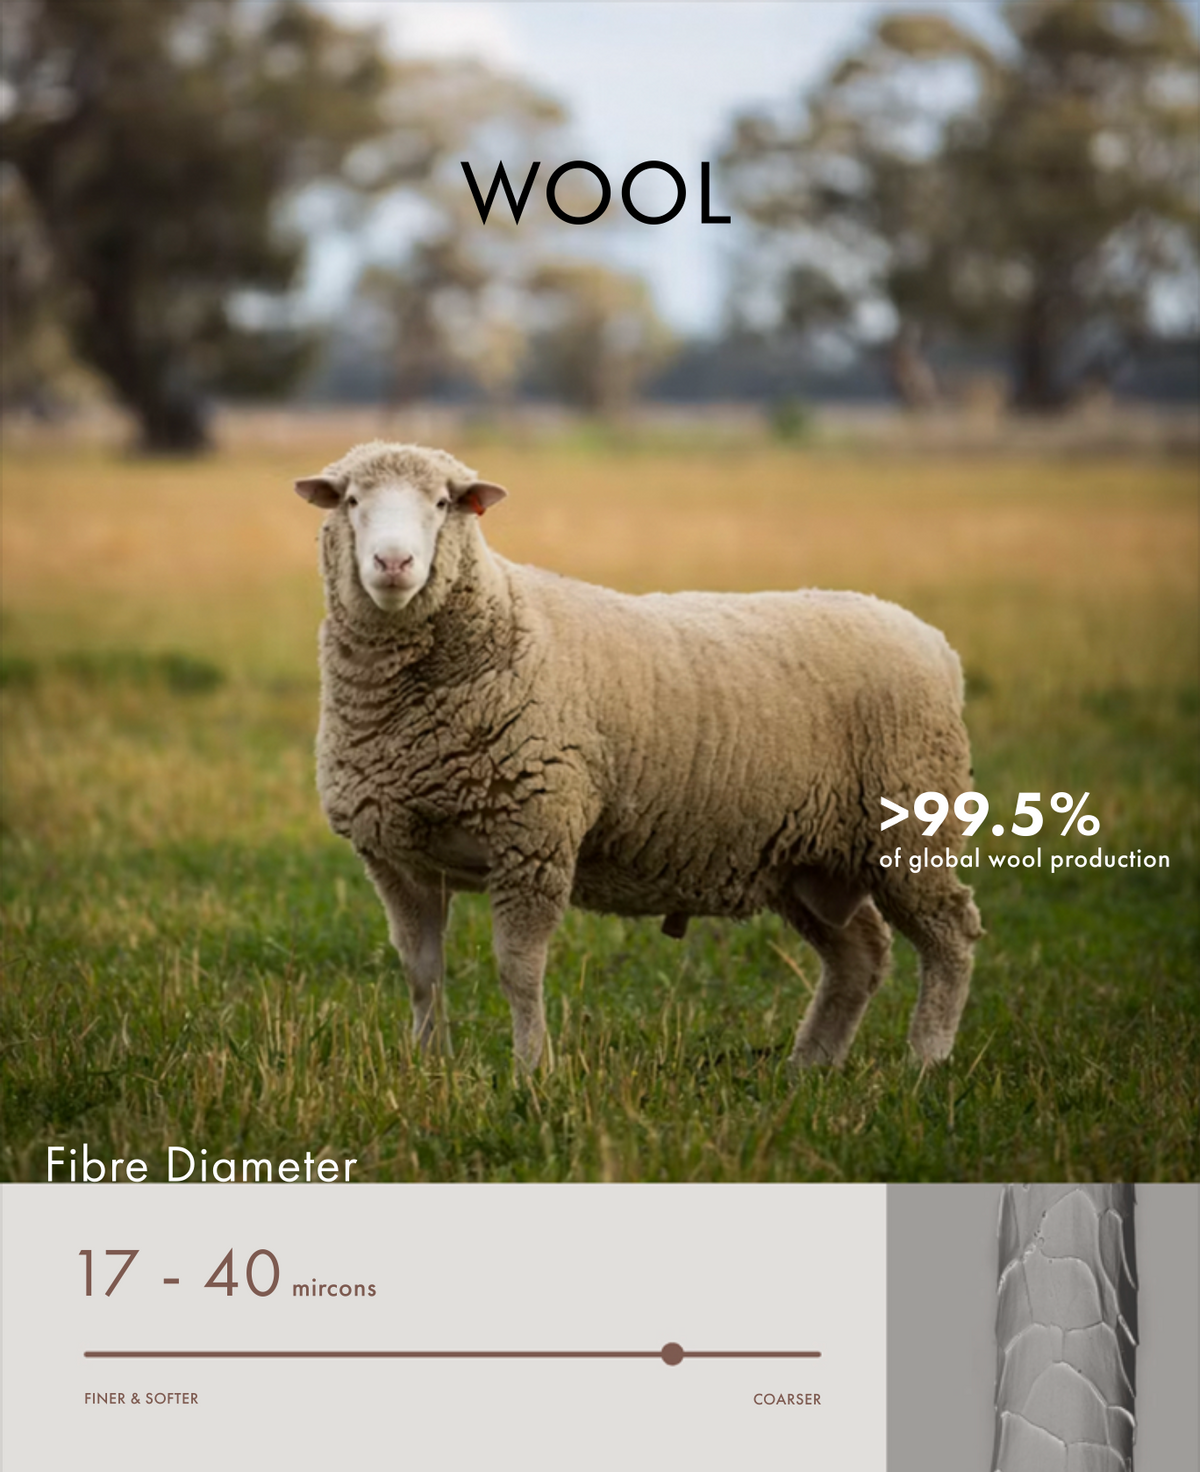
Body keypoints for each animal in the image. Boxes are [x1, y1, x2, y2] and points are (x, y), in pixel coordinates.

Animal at [296, 440, 983, 1071]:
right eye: (351, 501)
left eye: (443, 504)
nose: (393, 562)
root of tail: (937, 645)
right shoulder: (395, 857)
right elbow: (421, 973)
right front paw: (428, 1066)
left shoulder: (533, 840)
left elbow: (518, 971)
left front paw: (531, 1070)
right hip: (807, 858)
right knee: (859, 954)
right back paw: (809, 1066)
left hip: (910, 829)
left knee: (950, 936)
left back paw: (926, 1059)